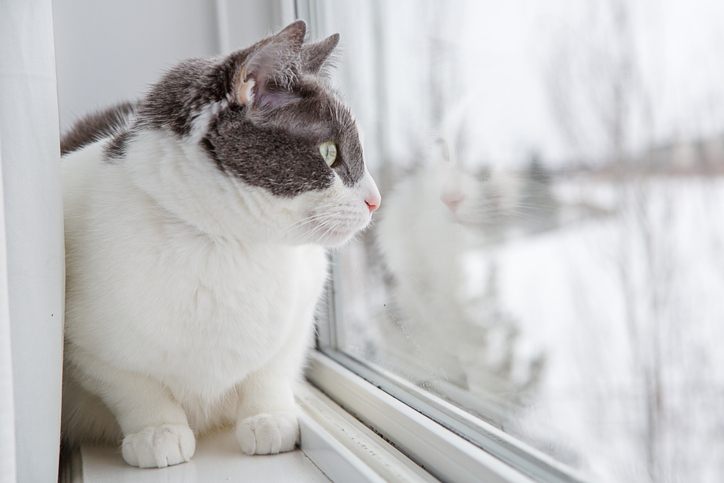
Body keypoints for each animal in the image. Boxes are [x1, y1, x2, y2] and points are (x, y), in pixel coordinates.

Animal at [59, 20, 382, 470]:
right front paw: (157, 430)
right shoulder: (88, 349)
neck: (227, 246)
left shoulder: (302, 306)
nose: (376, 200)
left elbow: (270, 368)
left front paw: (268, 417)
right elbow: (135, 387)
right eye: (329, 152)